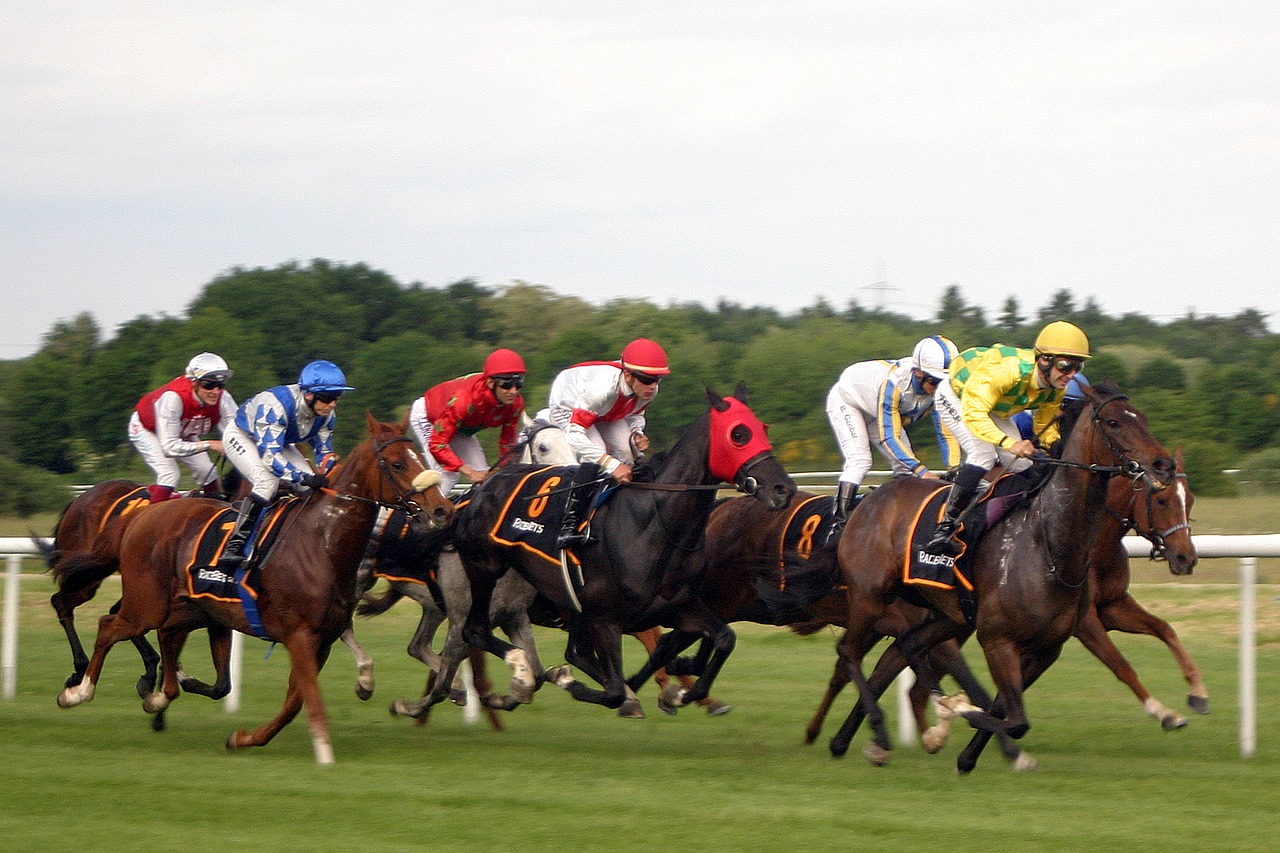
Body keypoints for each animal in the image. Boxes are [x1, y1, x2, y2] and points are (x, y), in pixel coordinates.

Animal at [55, 409, 455, 758]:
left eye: (421, 455)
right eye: (398, 463)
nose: (441, 509)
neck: (321, 542)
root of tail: (141, 515)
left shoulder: (320, 640)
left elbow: (294, 701)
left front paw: (244, 738)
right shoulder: (300, 636)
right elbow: (307, 698)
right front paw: (325, 752)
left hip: (189, 611)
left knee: (163, 640)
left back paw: (157, 694)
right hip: (147, 605)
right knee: (107, 625)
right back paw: (78, 690)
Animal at [404, 381, 793, 712]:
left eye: (762, 429)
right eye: (738, 434)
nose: (783, 489)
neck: (655, 522)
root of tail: (482, 489)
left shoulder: (677, 606)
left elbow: (722, 638)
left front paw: (686, 691)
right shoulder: (603, 618)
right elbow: (614, 688)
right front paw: (574, 683)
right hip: (483, 574)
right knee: (471, 633)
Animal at [824, 381, 1172, 768]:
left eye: (1142, 418)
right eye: (1113, 422)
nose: (1163, 464)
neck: (1048, 545)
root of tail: (866, 501)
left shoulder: (1047, 647)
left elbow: (1005, 710)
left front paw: (970, 752)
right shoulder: (998, 640)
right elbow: (1014, 718)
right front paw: (956, 715)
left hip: (946, 615)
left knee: (901, 649)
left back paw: (857, 738)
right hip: (870, 596)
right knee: (849, 651)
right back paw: (883, 729)